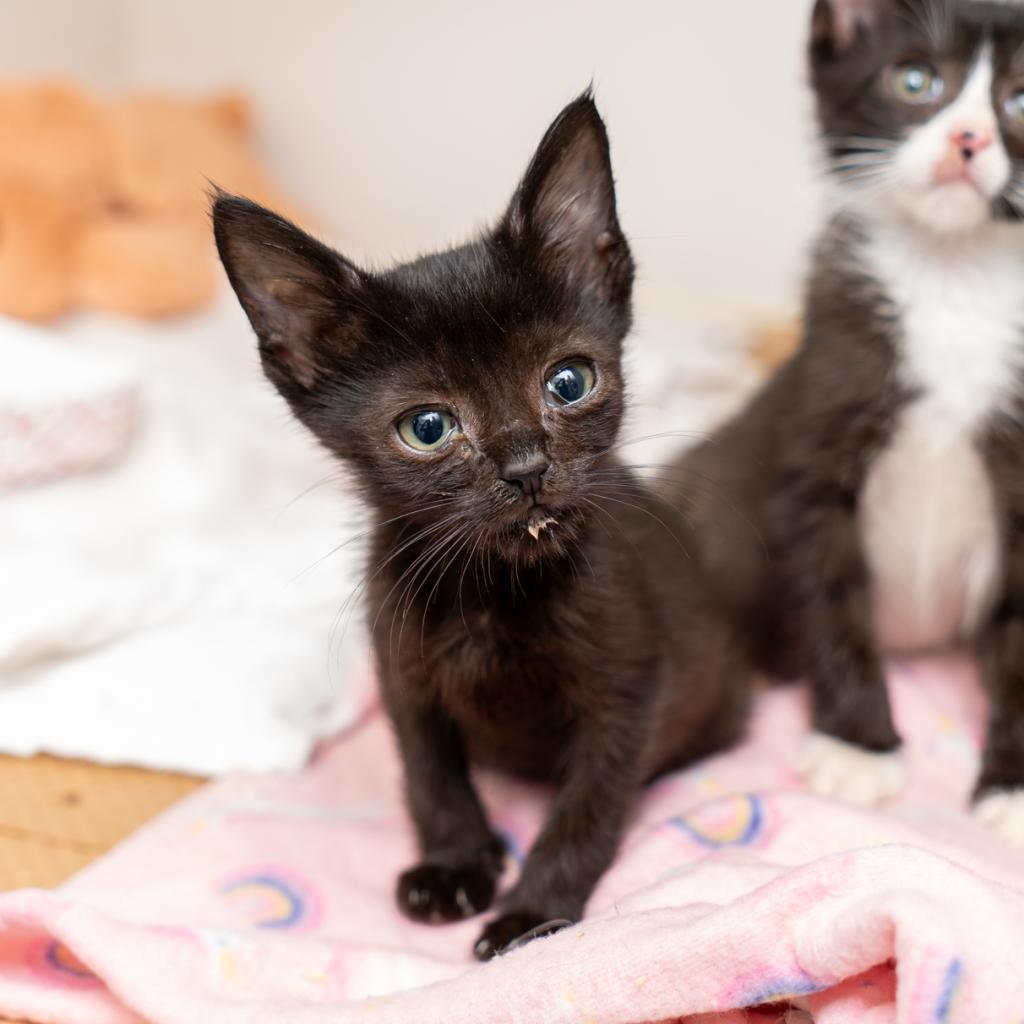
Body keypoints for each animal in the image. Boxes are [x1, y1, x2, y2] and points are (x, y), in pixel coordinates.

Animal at [211, 92, 749, 954]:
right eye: (428, 428)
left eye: (569, 381)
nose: (526, 467)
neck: (494, 589)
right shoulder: (403, 678)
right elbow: (430, 777)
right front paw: (455, 866)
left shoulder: (628, 689)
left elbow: (588, 806)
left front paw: (534, 916)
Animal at [675, 0, 1024, 831]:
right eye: (915, 80)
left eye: (1022, 100)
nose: (969, 139)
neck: (953, 281)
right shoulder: (817, 428)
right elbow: (829, 590)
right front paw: (856, 747)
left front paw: (1013, 786)